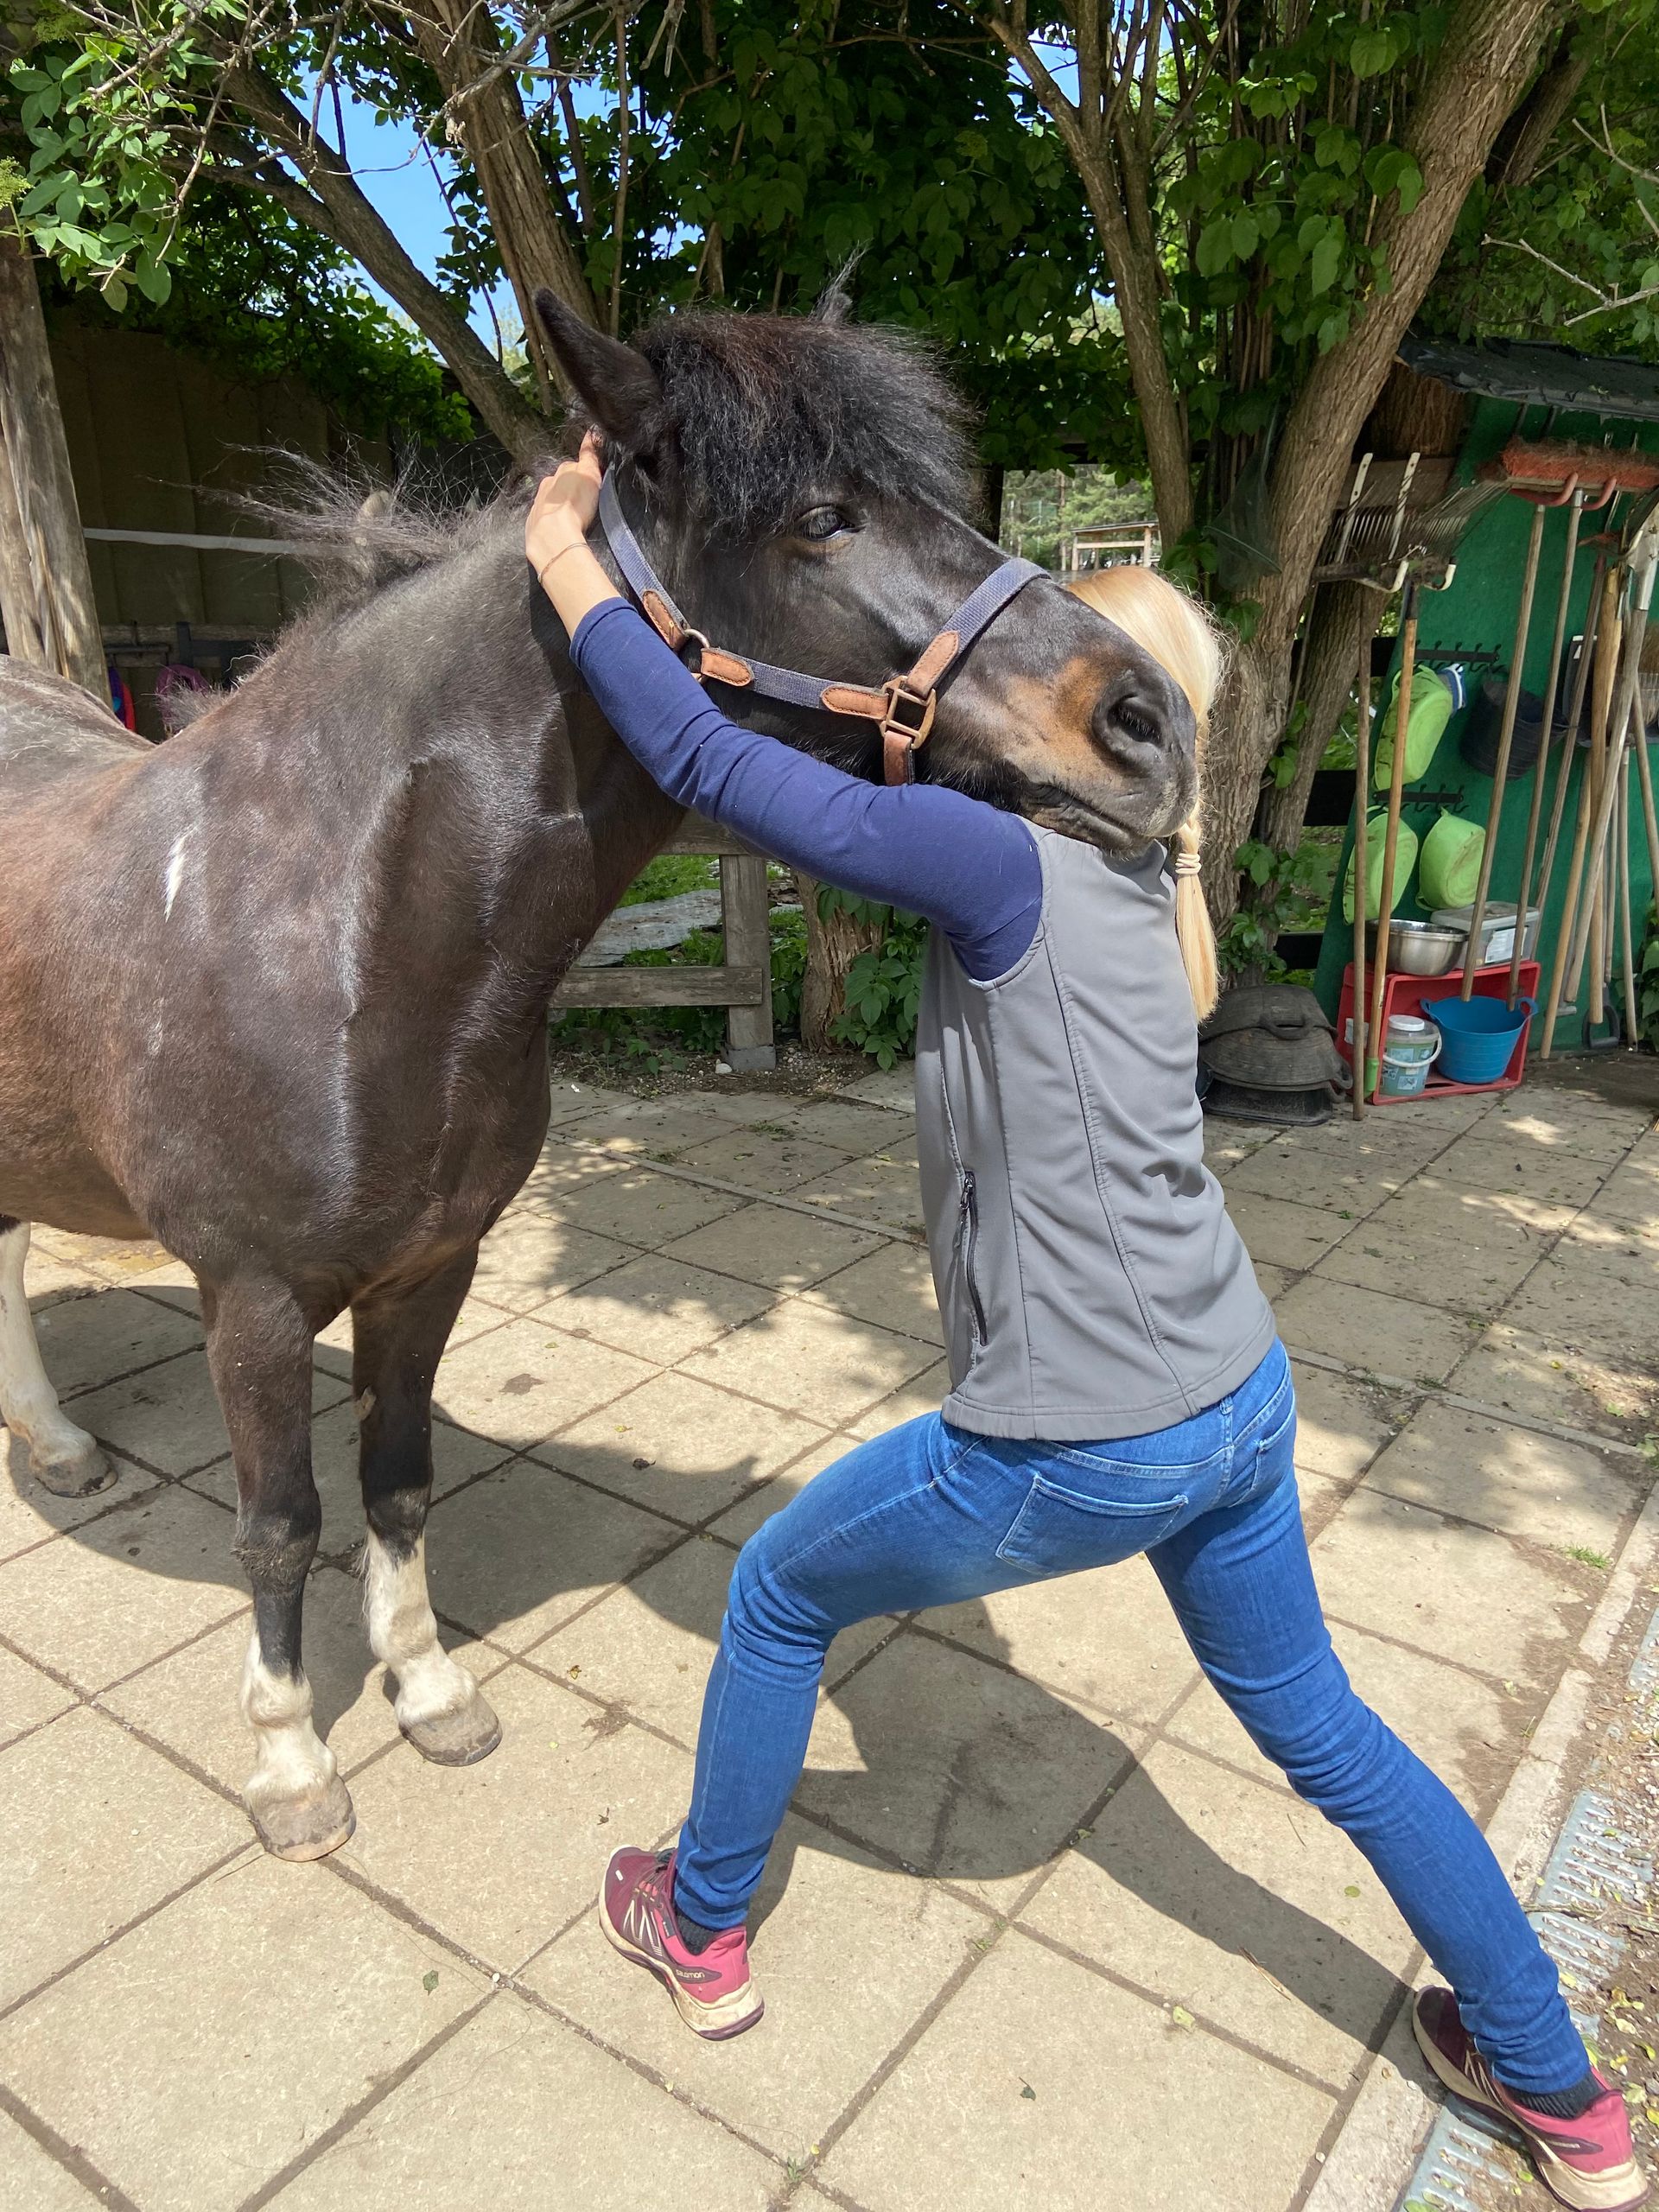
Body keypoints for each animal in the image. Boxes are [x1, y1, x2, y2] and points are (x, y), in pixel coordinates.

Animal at [0, 290, 1196, 1862]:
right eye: (822, 518)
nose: (1147, 723)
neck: (334, 920)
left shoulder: (430, 1268)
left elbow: (396, 1481)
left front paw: (430, 1692)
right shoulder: (249, 1300)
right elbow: (280, 1526)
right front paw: (294, 1768)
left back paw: (57, 1446)